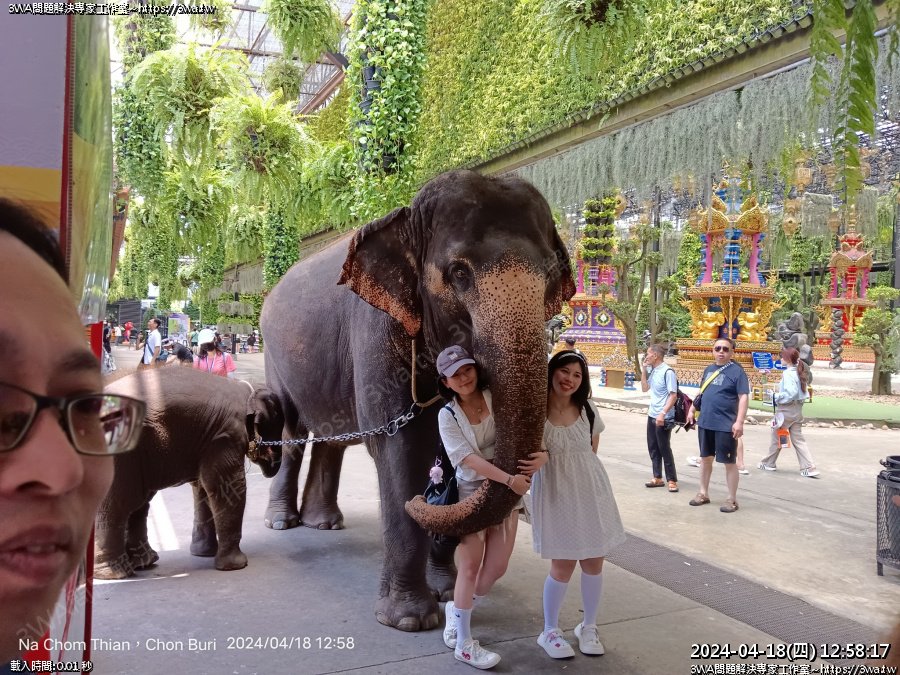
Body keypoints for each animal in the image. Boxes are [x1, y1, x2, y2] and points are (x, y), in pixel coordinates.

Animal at [94, 367, 284, 579]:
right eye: (277, 426)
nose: (272, 462)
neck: (246, 388)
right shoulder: (226, 436)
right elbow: (226, 487)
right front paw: (237, 565)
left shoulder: (207, 440)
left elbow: (202, 487)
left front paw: (203, 554)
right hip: (119, 452)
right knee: (120, 503)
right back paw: (115, 573)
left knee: (138, 504)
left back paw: (144, 563)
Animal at [260, 170, 575, 632]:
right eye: (458, 273)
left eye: (550, 277)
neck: (406, 220)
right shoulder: (377, 329)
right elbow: (400, 450)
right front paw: (408, 620)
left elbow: (456, 457)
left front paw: (447, 589)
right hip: (273, 356)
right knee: (291, 429)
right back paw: (282, 522)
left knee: (333, 439)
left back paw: (324, 523)